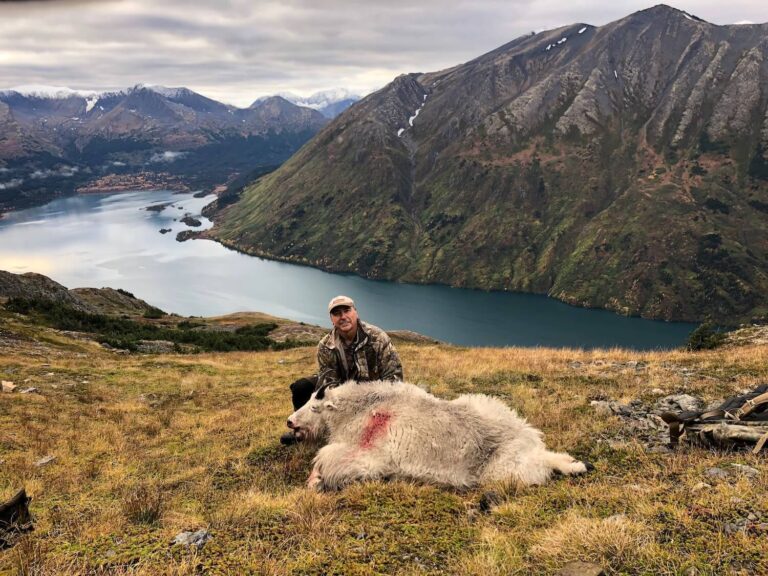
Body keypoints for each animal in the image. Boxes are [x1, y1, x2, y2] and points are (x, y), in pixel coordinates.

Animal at [284, 380, 592, 492]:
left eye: (314, 406)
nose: (290, 422)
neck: (359, 411)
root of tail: (527, 437)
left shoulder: (366, 457)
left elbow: (326, 459)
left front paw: (315, 480)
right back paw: (577, 464)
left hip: (503, 471)